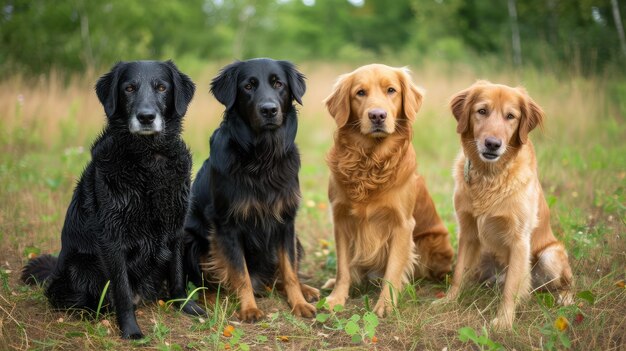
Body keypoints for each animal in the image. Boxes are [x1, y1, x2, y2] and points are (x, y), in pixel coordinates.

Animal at [21, 61, 205, 340]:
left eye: (162, 88)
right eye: (129, 88)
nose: (146, 117)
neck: (148, 160)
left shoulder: (175, 227)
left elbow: (177, 272)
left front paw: (185, 305)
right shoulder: (112, 237)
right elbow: (122, 291)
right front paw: (130, 329)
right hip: (80, 266)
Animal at [180, 59, 316, 324]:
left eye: (278, 84)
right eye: (248, 86)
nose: (269, 110)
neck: (262, 158)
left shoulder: (286, 221)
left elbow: (289, 268)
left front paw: (298, 302)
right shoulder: (227, 225)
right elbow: (239, 272)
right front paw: (249, 308)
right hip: (189, 240)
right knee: (202, 284)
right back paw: (212, 299)